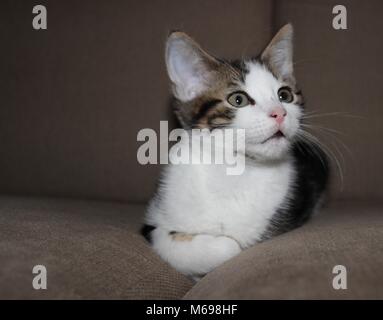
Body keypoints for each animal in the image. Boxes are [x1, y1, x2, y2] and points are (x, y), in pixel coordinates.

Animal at [142, 25, 330, 278]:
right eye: (238, 99)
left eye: (285, 95)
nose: (280, 113)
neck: (234, 170)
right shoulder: (153, 221)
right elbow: (203, 244)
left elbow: (237, 244)